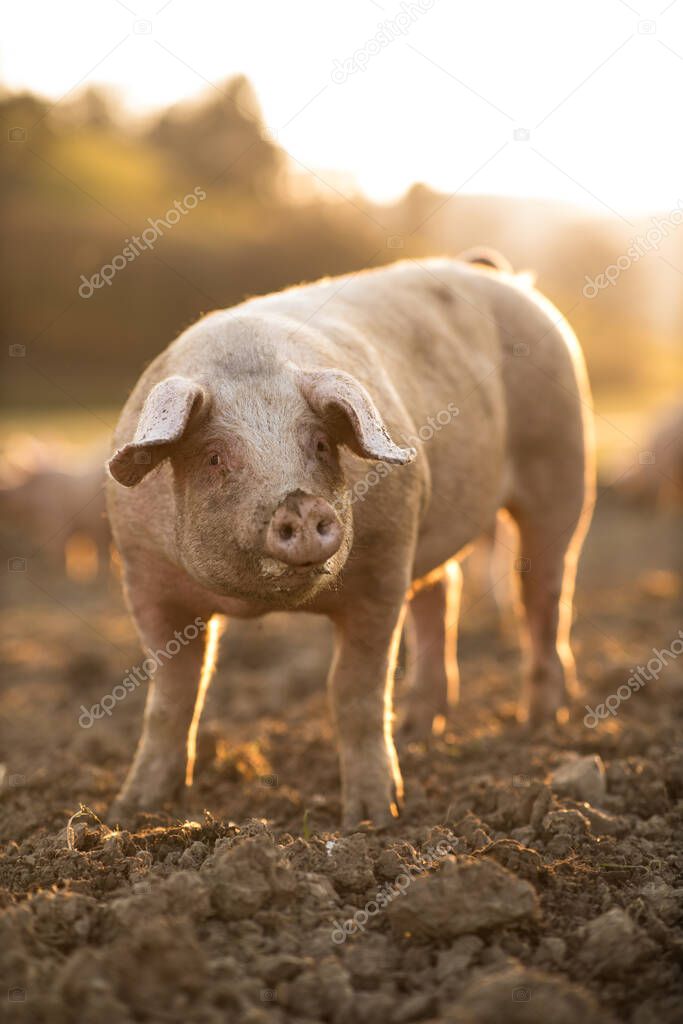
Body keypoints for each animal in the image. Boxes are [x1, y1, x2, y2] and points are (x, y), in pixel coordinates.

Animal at [105, 253, 593, 823]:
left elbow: (355, 690)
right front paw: (132, 808)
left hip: (564, 468)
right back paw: (420, 728)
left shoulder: (383, 566)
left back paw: (541, 722)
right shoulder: (144, 578)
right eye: (214, 457)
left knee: (544, 597)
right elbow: (173, 696)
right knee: (442, 594)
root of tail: (501, 274)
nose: (300, 503)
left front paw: (375, 816)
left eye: (319, 444)